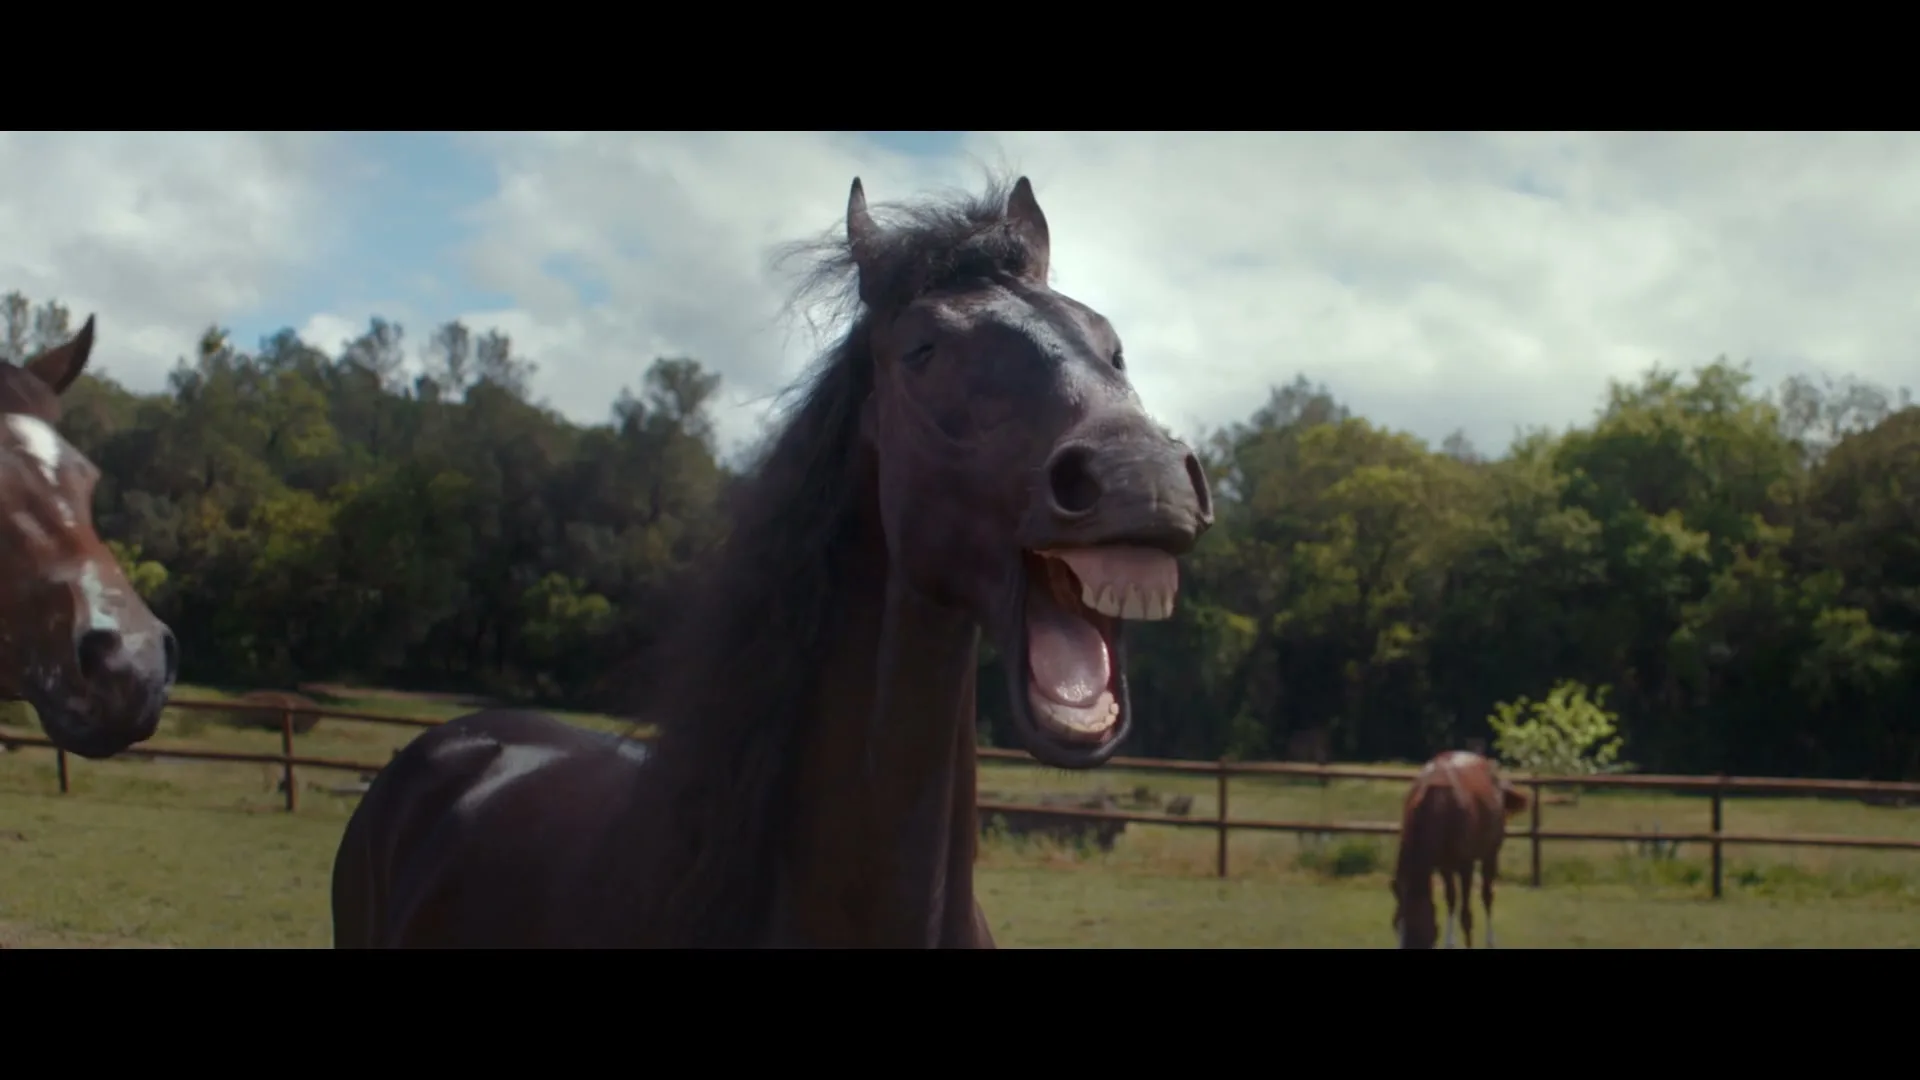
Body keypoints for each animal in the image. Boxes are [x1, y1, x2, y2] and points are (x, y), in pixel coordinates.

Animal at [1390, 749, 1530, 949]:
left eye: (1419, 928)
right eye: (1395, 925)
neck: (1439, 803)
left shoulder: (1466, 866)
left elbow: (1466, 916)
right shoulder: (1443, 865)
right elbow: (1451, 900)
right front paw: (1450, 943)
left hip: (1490, 855)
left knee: (1487, 895)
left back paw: (1490, 940)